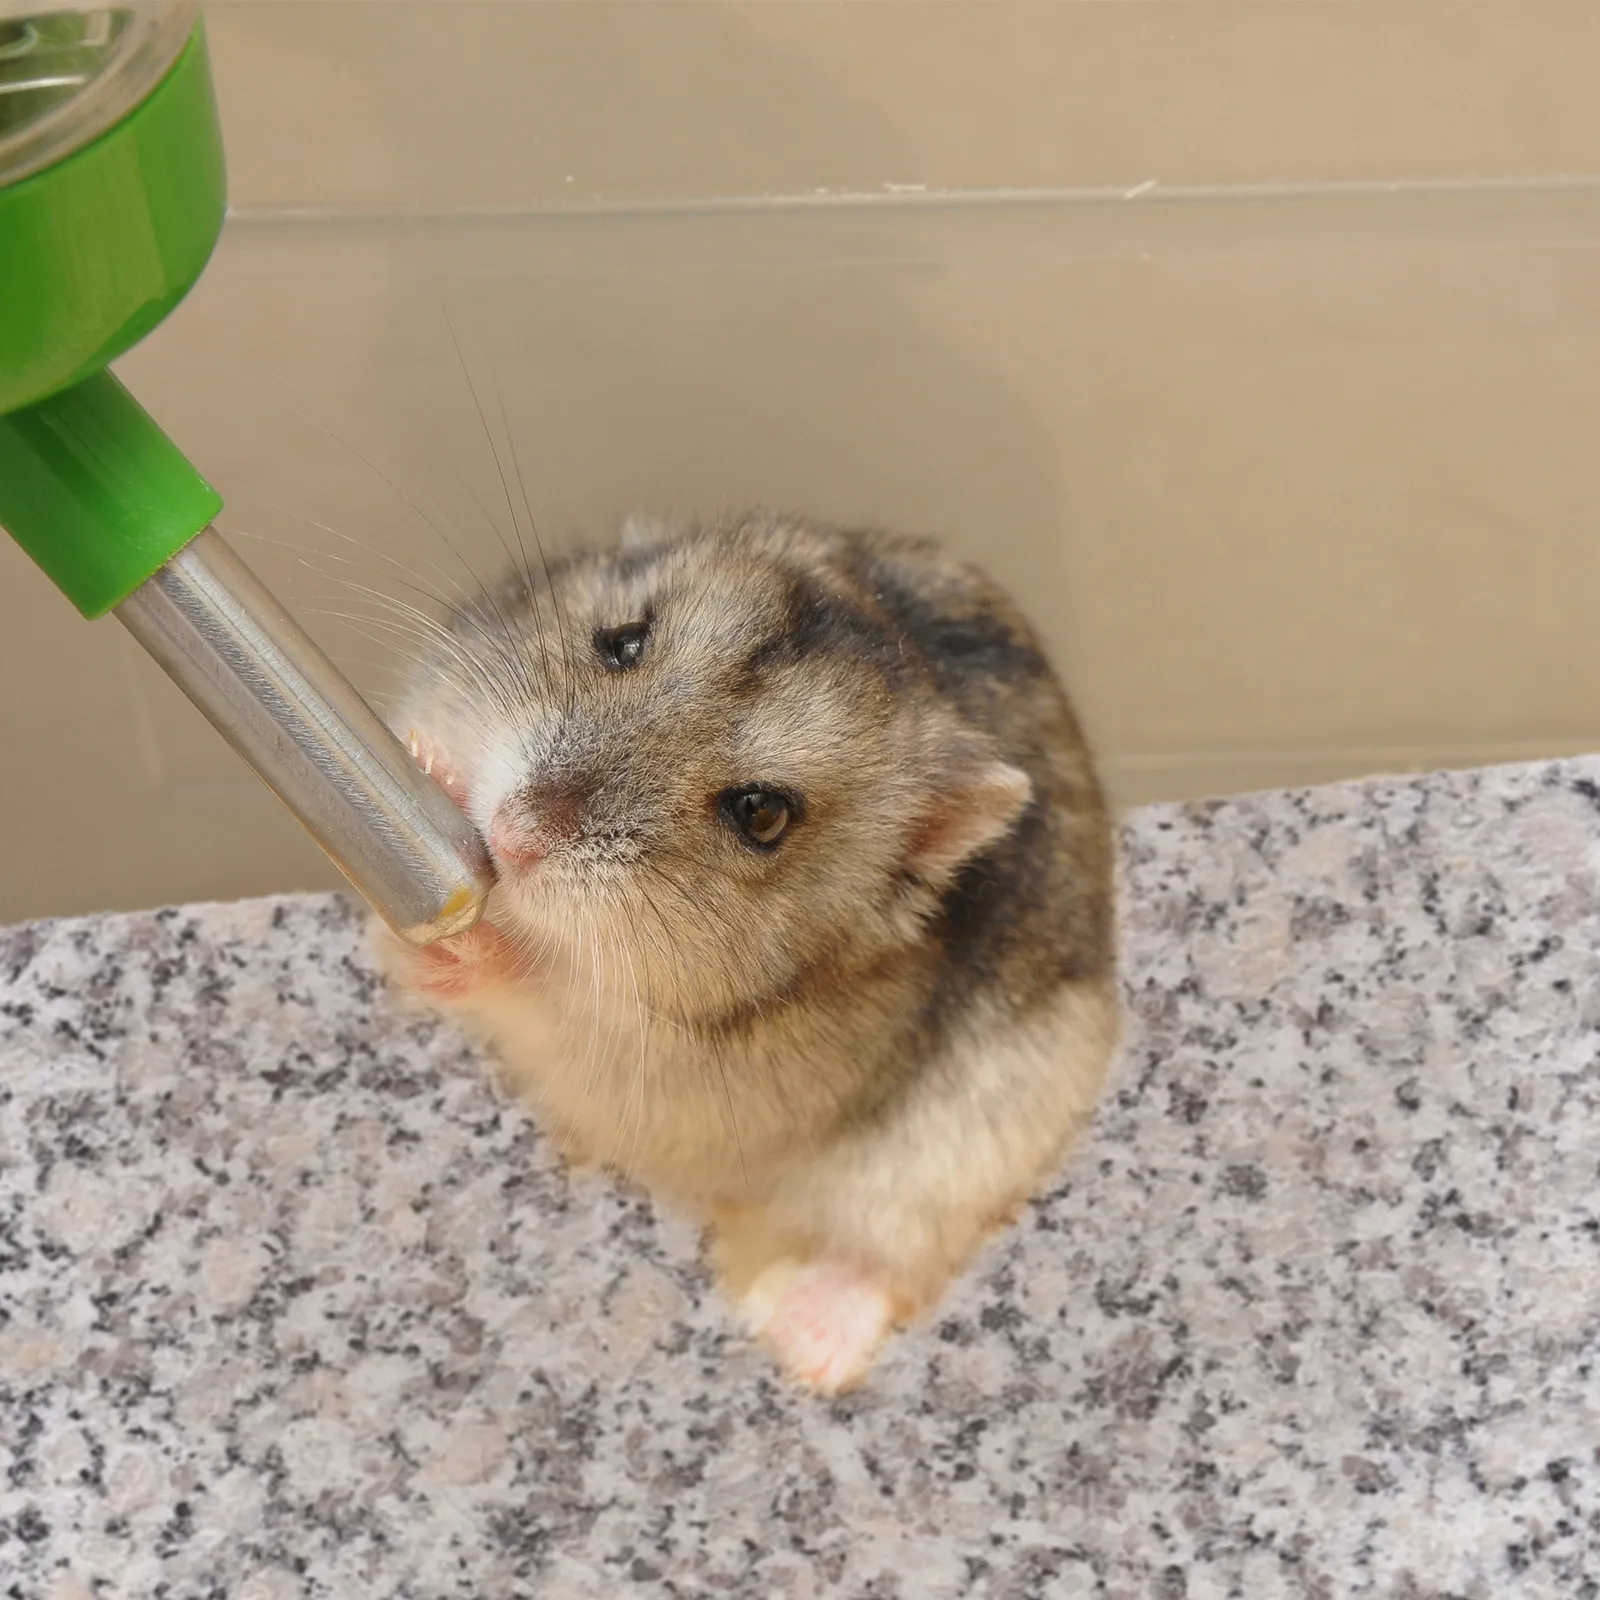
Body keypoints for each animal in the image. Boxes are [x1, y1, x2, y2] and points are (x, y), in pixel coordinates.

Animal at [376, 511, 1119, 1393]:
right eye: (623, 642)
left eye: (762, 814)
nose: (513, 836)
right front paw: (428, 759)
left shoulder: (659, 1066)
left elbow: (544, 991)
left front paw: (484, 945)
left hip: (965, 1156)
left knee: (890, 1258)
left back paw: (794, 1340)